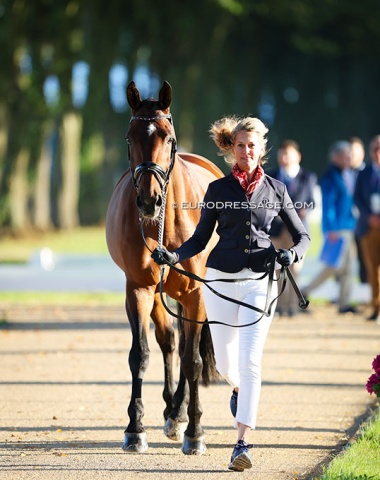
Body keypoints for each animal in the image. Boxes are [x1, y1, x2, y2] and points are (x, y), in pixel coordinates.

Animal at [105, 80, 224, 456]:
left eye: (169, 139)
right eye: (130, 138)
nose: (149, 200)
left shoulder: (196, 292)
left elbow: (194, 360)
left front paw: (196, 434)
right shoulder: (138, 289)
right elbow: (139, 355)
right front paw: (135, 429)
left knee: (187, 348)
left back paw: (181, 414)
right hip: (160, 294)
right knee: (170, 340)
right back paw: (172, 410)